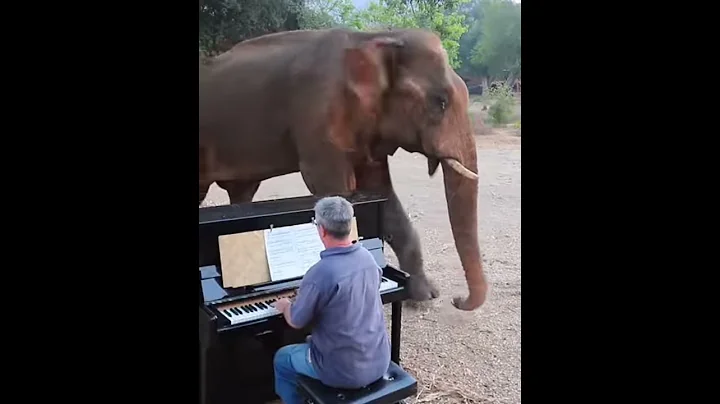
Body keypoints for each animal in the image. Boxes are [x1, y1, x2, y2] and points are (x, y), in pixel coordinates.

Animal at [199, 28, 488, 311]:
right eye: (440, 102)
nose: (456, 300)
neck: (375, 37)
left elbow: (381, 192)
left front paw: (423, 296)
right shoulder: (317, 115)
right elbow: (331, 185)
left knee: (242, 192)